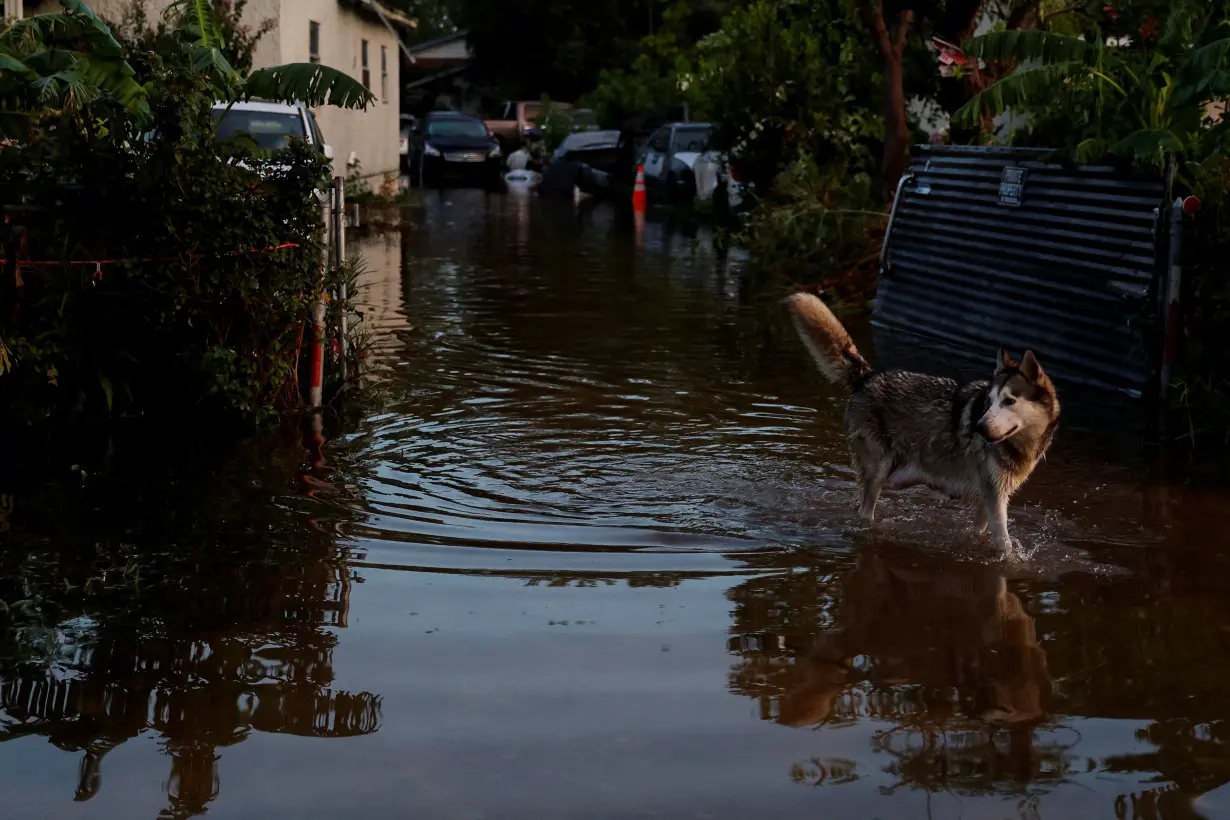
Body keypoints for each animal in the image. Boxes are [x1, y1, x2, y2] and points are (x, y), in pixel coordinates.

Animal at [787, 291, 1057, 548]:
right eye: (989, 402)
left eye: (1009, 401)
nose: (977, 427)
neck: (1021, 446)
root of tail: (868, 376)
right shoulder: (995, 499)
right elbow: (1006, 546)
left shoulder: (989, 499)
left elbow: (982, 533)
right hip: (880, 470)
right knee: (864, 512)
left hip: (898, 475)